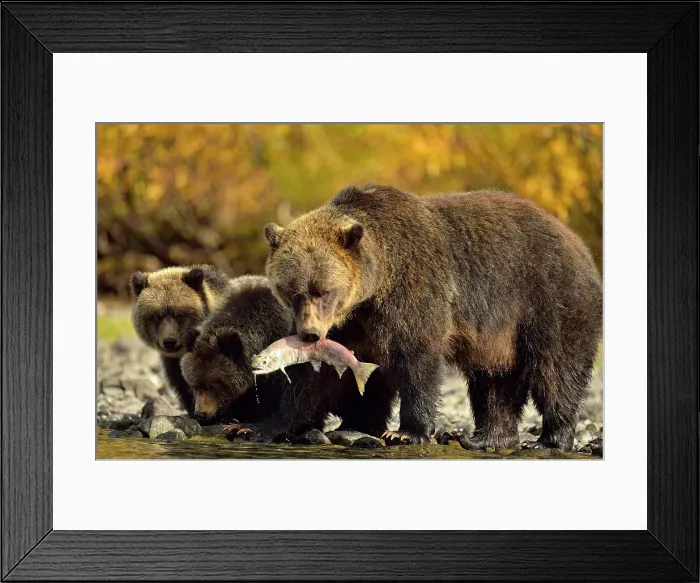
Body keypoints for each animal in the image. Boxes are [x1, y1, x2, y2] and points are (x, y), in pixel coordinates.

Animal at [263, 184, 602, 450]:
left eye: (324, 291)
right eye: (294, 292)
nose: (309, 333)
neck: (374, 289)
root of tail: (578, 244)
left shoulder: (415, 290)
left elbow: (417, 357)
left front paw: (405, 432)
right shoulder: (350, 326)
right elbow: (313, 375)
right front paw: (269, 426)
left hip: (550, 299)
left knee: (556, 369)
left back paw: (549, 439)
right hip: (500, 338)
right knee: (494, 382)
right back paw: (486, 438)